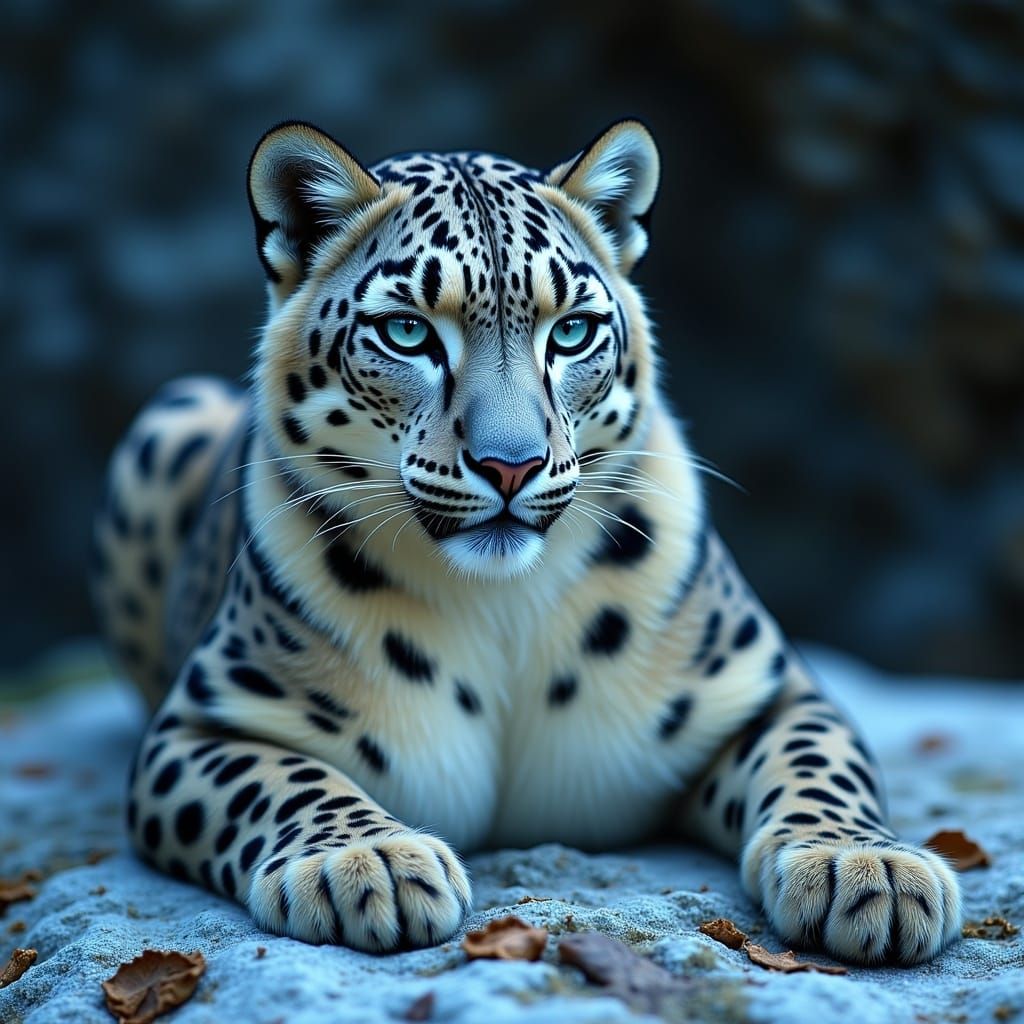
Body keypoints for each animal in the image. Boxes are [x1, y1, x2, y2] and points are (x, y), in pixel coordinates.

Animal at [90, 118, 961, 963]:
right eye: (406, 332)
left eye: (571, 332)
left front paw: (868, 868)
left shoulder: (772, 689)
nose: (510, 464)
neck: (503, 604)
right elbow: (280, 778)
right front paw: (367, 862)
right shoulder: (201, 722)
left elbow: (817, 763)